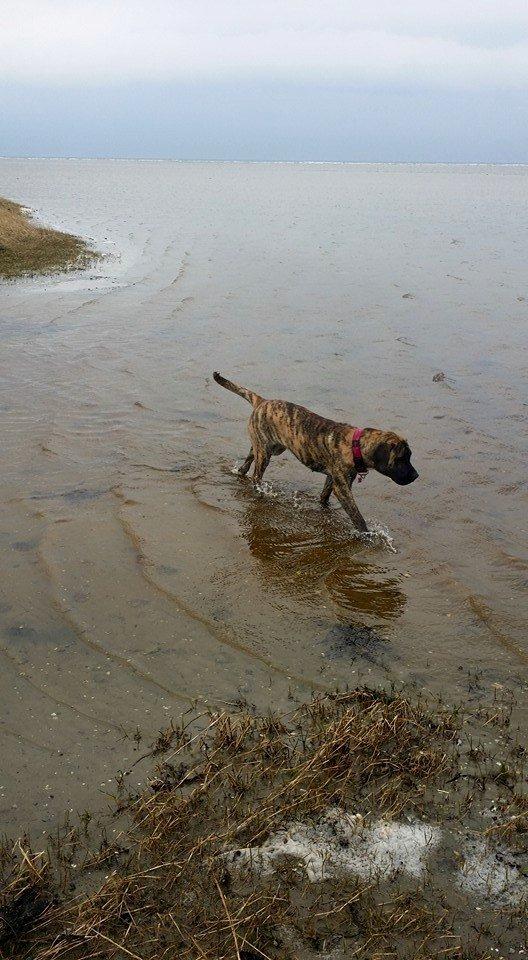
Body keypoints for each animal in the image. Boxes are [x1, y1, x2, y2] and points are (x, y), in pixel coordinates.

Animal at [212, 370, 418, 532]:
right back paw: (258, 488)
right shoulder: (342, 488)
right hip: (266, 453)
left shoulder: (333, 479)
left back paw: (241, 471)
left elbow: (324, 496)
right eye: (401, 459)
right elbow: (356, 515)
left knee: (250, 456)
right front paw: (368, 534)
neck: (356, 445)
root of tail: (262, 401)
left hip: (268, 446)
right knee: (256, 473)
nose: (416, 476)